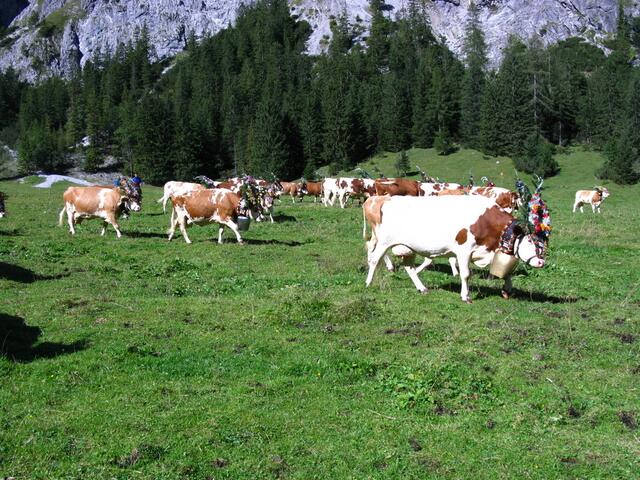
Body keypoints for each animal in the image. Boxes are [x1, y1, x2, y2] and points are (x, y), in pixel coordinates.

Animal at [362, 195, 546, 303]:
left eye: (543, 243)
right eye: (531, 241)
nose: (541, 262)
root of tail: (387, 199)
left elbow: (506, 273)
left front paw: (507, 290)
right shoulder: (464, 251)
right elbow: (465, 274)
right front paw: (466, 296)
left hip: (408, 247)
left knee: (409, 268)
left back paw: (422, 288)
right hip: (384, 242)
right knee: (374, 259)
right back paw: (368, 283)